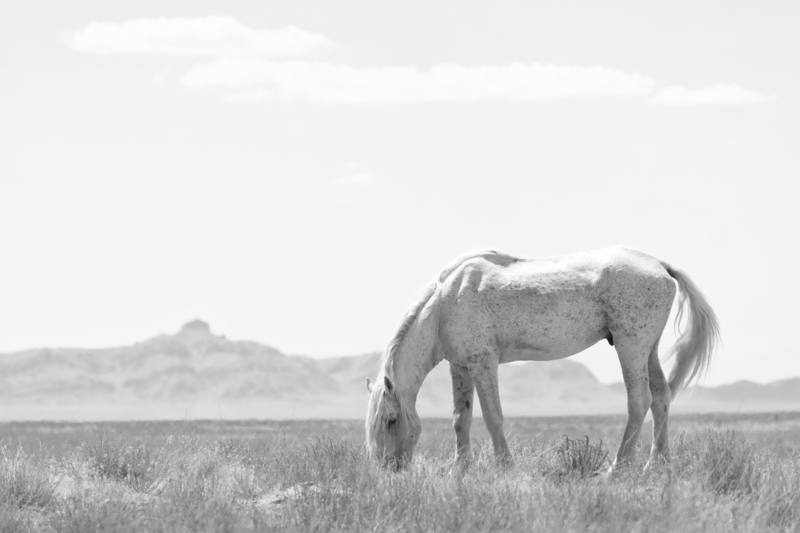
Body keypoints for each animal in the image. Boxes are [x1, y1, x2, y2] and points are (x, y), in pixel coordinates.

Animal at [365, 246, 719, 472]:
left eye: (391, 419)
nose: (386, 469)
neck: (446, 302)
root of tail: (659, 264)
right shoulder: (461, 367)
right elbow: (460, 419)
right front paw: (459, 470)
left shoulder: (483, 363)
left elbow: (493, 417)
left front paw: (505, 468)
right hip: (649, 349)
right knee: (661, 398)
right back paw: (655, 466)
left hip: (630, 346)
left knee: (640, 401)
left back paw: (617, 470)